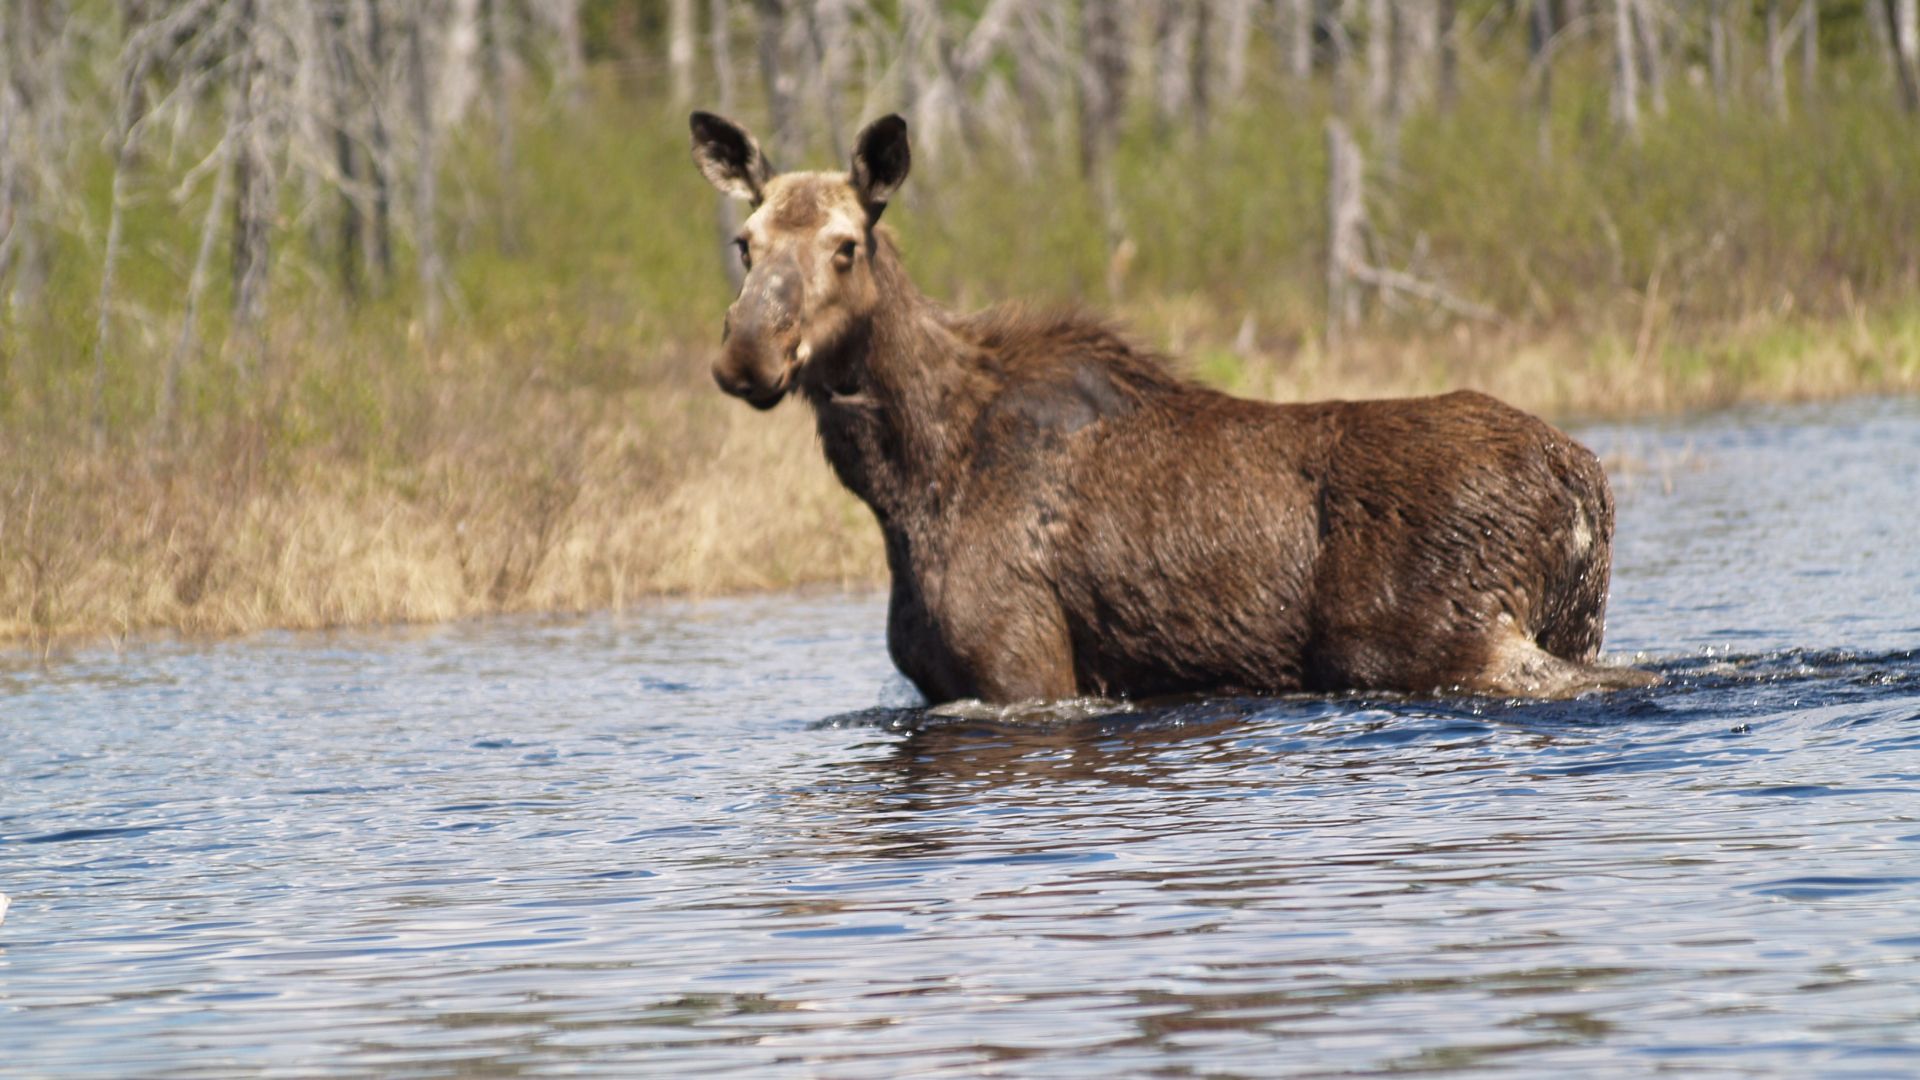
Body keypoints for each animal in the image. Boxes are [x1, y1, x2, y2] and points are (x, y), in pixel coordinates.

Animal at [691, 109, 1651, 699]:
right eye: (744, 242)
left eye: (846, 246)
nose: (746, 350)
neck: (907, 487)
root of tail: (1585, 480)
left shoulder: (1025, 670)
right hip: (1575, 618)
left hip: (1445, 640)